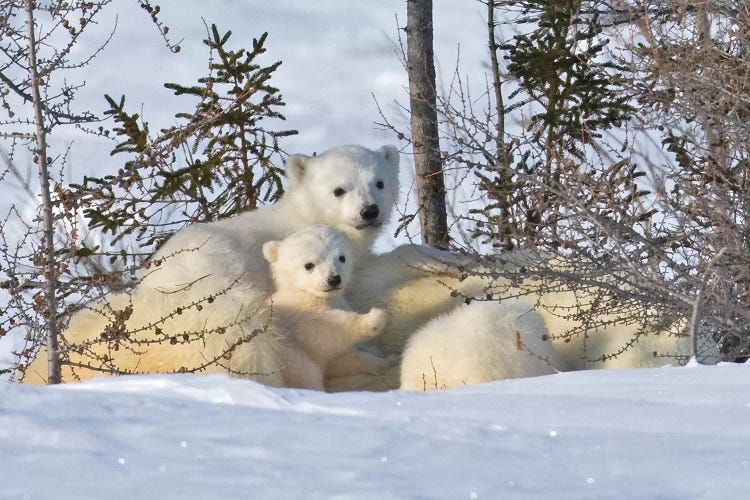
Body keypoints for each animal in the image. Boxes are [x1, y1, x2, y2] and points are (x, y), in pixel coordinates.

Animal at [262, 224, 388, 390]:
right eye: (309, 265)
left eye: (342, 257)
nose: (334, 279)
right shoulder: (297, 315)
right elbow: (325, 329)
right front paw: (374, 318)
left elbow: (343, 359)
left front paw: (385, 360)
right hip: (287, 355)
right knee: (306, 372)